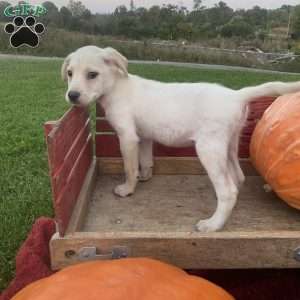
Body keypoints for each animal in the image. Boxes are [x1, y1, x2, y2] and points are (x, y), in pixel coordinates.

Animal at [61, 45, 300, 232]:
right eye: (70, 73)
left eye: (92, 74)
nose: (72, 95)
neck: (116, 87)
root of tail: (236, 95)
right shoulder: (143, 137)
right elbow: (145, 161)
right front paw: (144, 176)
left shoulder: (127, 137)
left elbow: (130, 167)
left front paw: (128, 189)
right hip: (230, 144)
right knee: (237, 177)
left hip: (208, 149)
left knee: (228, 190)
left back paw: (213, 224)